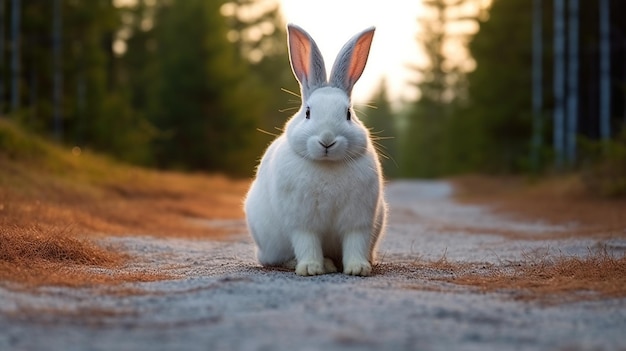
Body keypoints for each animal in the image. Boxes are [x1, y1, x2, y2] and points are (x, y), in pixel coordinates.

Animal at [244, 24, 386, 278]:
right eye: (308, 112)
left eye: (348, 113)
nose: (327, 140)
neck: (327, 164)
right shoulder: (302, 222)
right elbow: (307, 242)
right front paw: (311, 268)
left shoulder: (358, 221)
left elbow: (355, 243)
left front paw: (358, 269)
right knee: (273, 259)